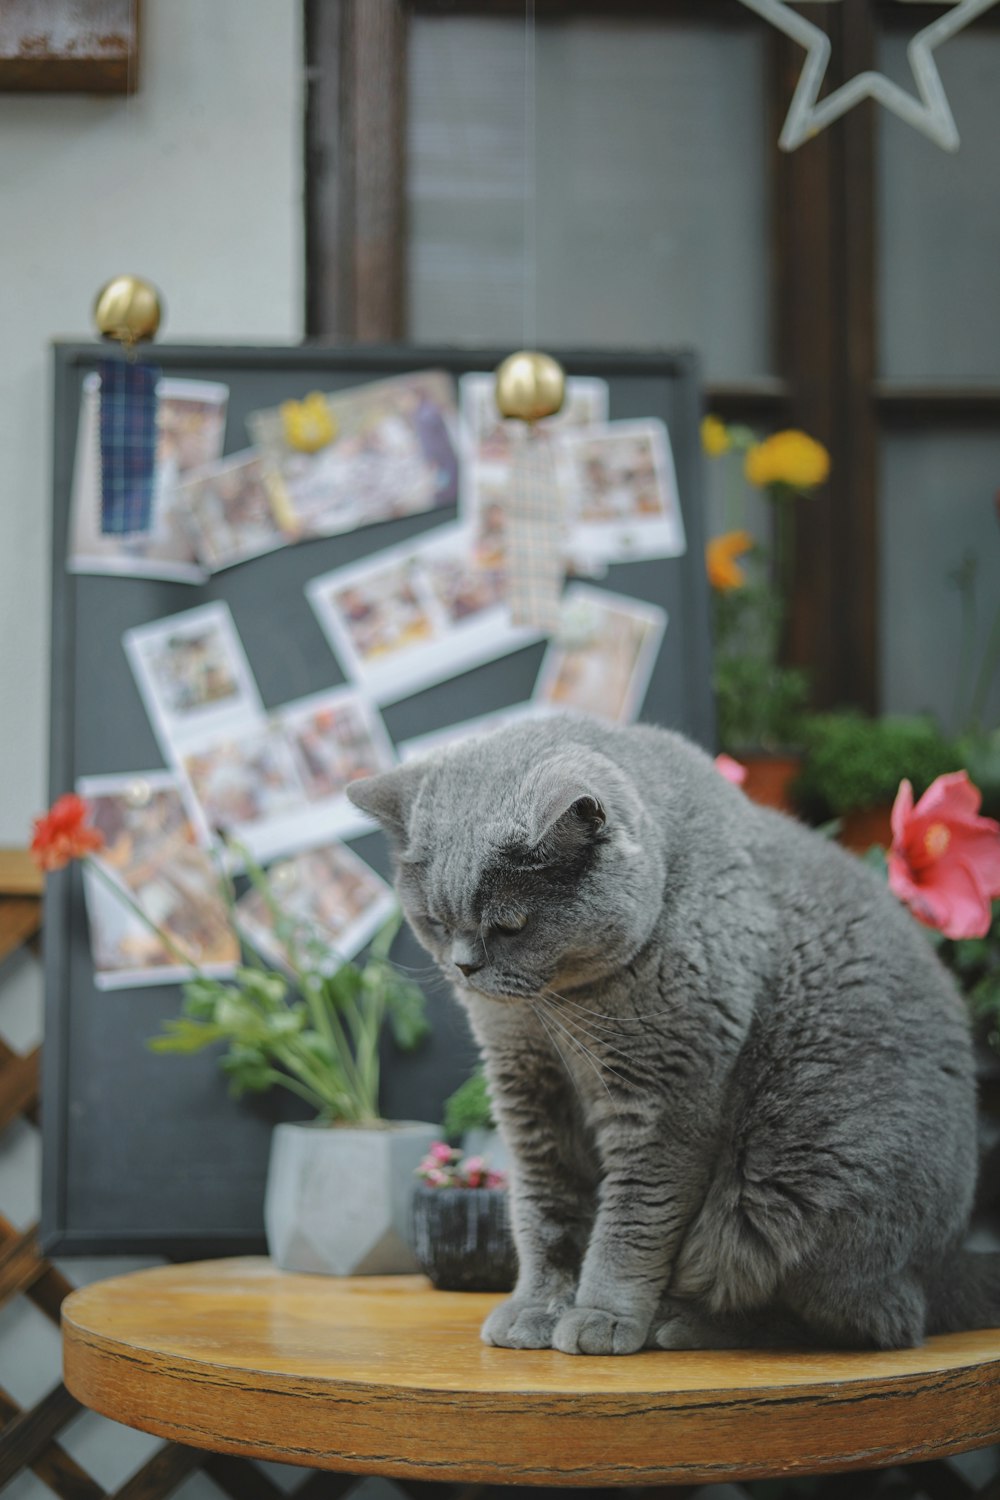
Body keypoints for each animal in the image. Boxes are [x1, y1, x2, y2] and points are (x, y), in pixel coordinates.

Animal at [346, 714, 1000, 1362]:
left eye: (510, 926)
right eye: (435, 921)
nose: (464, 966)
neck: (557, 1014)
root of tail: (944, 1266)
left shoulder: (664, 1099)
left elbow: (632, 1222)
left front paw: (602, 1317)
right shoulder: (527, 1089)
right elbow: (545, 1208)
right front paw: (537, 1307)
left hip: (798, 1185)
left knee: (857, 1319)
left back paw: (681, 1323)